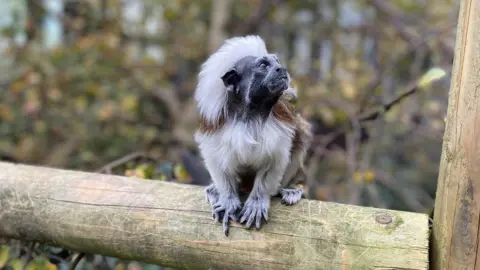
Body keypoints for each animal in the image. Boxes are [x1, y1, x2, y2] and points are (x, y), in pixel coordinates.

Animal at [193, 35, 314, 234]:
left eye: (277, 62)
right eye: (263, 65)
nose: (281, 69)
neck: (251, 115)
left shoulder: (281, 129)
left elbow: (272, 164)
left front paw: (257, 202)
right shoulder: (215, 128)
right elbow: (219, 163)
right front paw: (227, 198)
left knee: (300, 136)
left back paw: (289, 189)